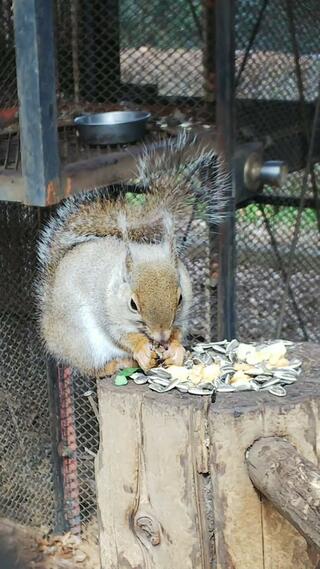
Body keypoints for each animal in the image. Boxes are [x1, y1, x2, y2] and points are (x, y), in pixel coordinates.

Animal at [36, 133, 228, 378]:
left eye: (180, 298)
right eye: (132, 304)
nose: (161, 337)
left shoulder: (183, 311)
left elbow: (179, 330)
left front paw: (175, 349)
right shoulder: (108, 311)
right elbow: (122, 335)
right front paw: (143, 350)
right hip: (81, 342)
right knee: (93, 368)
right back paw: (117, 364)